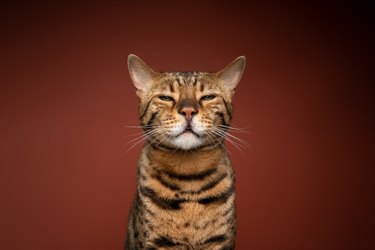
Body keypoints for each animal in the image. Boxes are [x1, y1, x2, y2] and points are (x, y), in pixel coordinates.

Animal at [125, 53, 247, 249]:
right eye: (166, 98)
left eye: (208, 97)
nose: (188, 110)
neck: (189, 177)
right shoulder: (156, 242)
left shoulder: (220, 241)